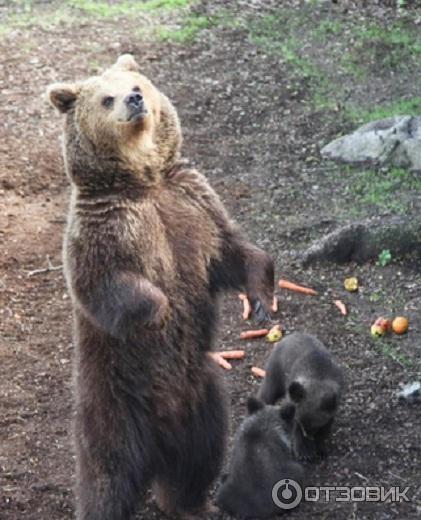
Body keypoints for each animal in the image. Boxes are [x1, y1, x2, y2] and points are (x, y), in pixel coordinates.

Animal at [47, 53, 274, 520]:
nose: (134, 101)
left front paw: (261, 296)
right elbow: (103, 283)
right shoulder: (106, 229)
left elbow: (231, 251)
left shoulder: (194, 203)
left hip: (204, 397)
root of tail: (157, 447)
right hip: (114, 405)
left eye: (137, 85)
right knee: (107, 476)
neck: (145, 180)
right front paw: (162, 309)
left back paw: (191, 504)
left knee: (197, 459)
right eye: (106, 97)